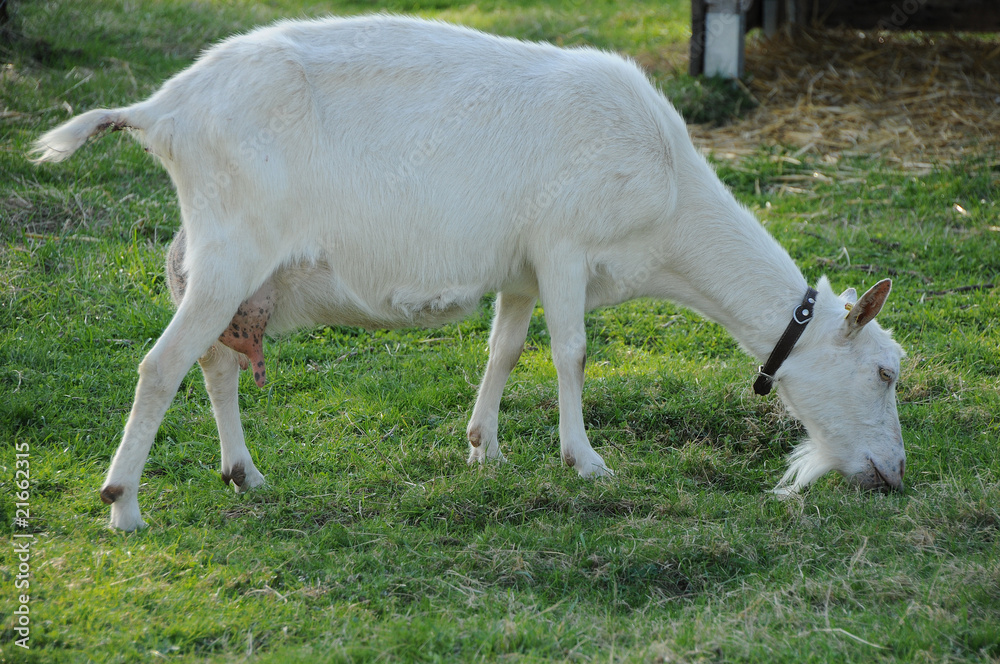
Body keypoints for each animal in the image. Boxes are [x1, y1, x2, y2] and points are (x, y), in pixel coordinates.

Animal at [30, 15, 906, 531]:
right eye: (886, 373)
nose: (893, 476)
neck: (669, 206)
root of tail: (161, 110)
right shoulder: (564, 244)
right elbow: (572, 354)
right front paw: (584, 461)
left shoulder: (520, 268)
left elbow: (506, 350)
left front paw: (484, 446)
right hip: (231, 250)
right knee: (160, 365)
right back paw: (123, 505)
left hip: (229, 267)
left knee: (214, 363)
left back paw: (244, 474)